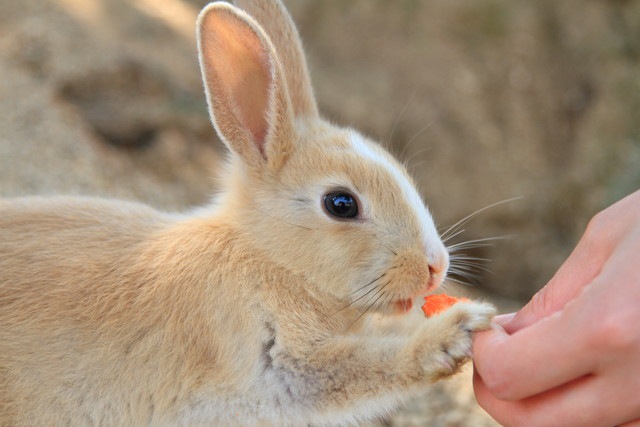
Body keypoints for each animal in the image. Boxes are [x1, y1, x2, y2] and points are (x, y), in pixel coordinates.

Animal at [0, 1, 496, 426]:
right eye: (341, 204)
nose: (435, 267)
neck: (272, 260)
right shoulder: (286, 367)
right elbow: (364, 365)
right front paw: (459, 330)